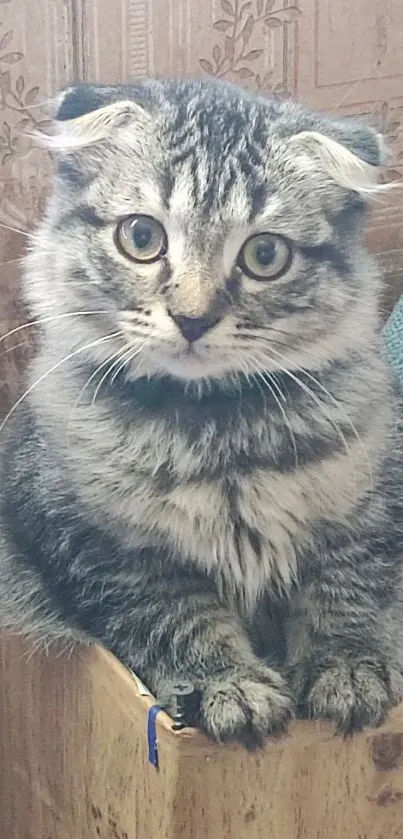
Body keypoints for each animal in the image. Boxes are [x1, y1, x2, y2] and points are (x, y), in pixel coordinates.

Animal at [0, 80, 403, 748]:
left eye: (264, 254)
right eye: (141, 238)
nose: (193, 319)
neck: (217, 437)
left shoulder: (369, 512)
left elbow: (346, 594)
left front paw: (347, 670)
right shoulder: (108, 554)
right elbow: (180, 619)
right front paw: (231, 686)